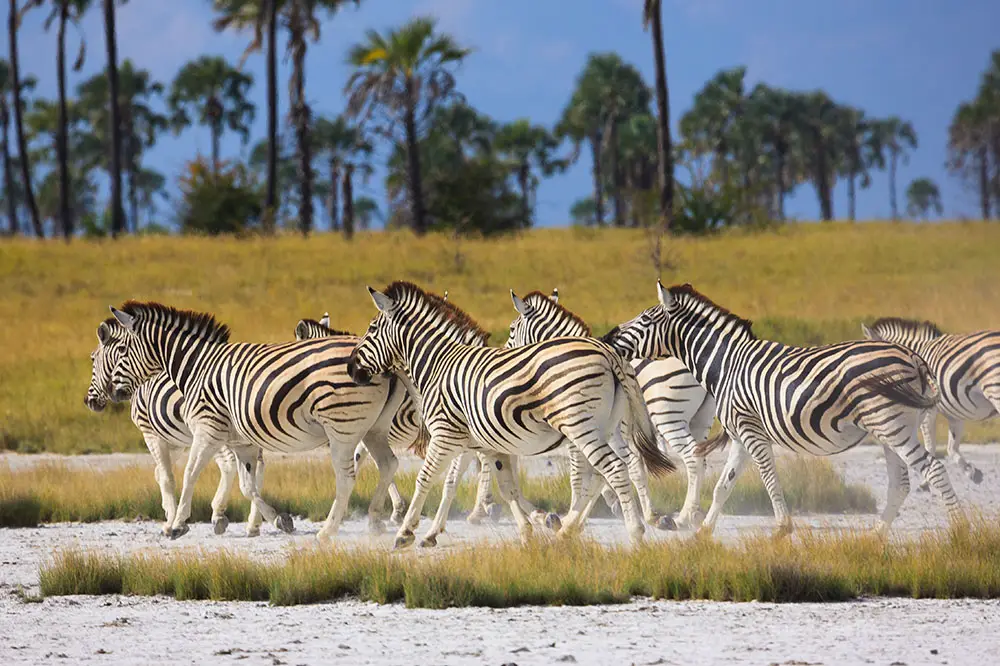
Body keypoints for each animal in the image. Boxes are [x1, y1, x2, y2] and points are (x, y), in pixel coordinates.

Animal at [104, 300, 410, 540]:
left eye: (121, 351)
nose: (114, 393)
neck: (198, 367)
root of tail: (386, 365)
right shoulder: (243, 442)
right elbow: (247, 486)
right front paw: (278, 519)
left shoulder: (207, 429)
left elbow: (191, 473)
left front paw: (178, 525)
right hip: (374, 429)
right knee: (388, 464)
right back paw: (376, 521)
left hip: (342, 429)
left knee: (347, 477)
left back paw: (328, 531)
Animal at [344, 280, 672, 544]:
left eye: (371, 329)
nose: (350, 369)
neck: (439, 363)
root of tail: (607, 352)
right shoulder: (484, 444)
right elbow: (503, 487)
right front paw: (528, 527)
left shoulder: (446, 434)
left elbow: (427, 479)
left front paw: (407, 532)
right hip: (601, 427)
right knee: (610, 470)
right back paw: (574, 528)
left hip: (582, 428)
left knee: (614, 469)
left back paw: (634, 531)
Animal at [504, 288, 716, 528]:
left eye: (512, 329)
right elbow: (611, 471)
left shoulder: (581, 432)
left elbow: (579, 474)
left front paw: (573, 515)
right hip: (701, 420)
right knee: (702, 459)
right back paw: (695, 514)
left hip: (667, 415)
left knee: (692, 457)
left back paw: (683, 517)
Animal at [596, 280, 964, 536]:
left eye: (645, 317)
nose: (608, 336)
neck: (727, 364)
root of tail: (912, 356)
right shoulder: (739, 435)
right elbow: (723, 485)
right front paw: (702, 532)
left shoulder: (751, 430)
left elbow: (769, 477)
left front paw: (783, 529)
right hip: (891, 427)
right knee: (900, 483)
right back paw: (874, 537)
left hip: (891, 425)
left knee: (932, 470)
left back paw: (961, 533)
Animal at [860, 316, 1000, 482]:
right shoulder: (955, 414)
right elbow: (951, 448)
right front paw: (971, 472)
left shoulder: (927, 409)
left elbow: (930, 445)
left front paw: (925, 482)